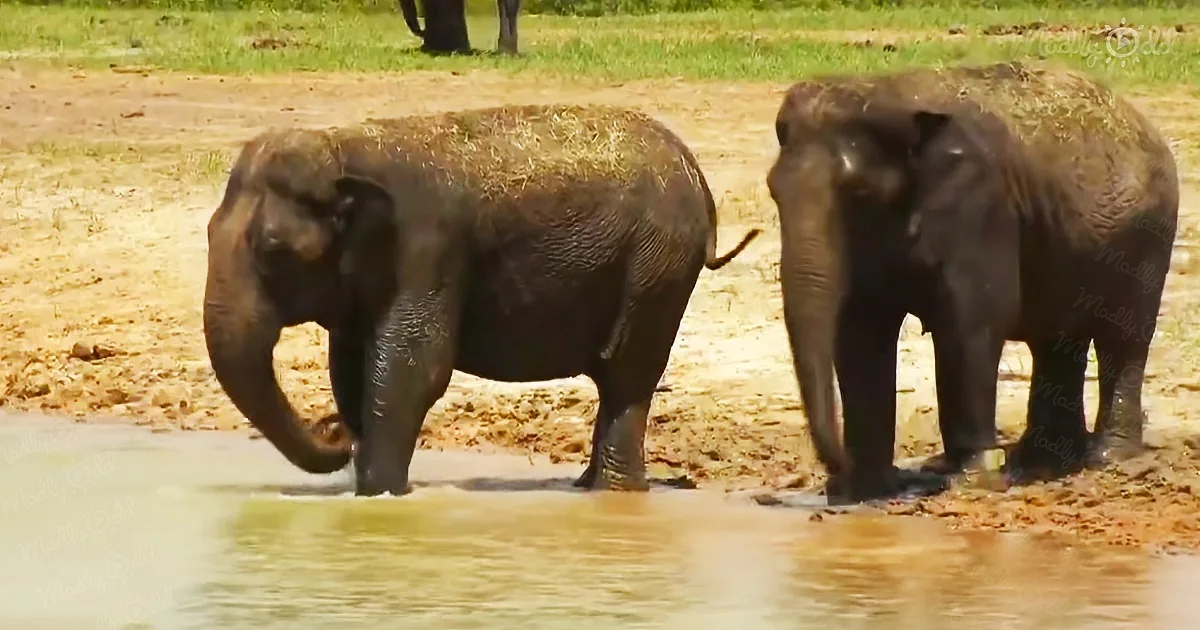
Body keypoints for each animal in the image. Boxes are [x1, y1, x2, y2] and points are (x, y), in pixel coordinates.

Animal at [203, 103, 761, 497]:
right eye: (208, 233)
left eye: (273, 250)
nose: (332, 433)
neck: (344, 146)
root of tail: (699, 178)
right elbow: (351, 371)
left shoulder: (427, 248)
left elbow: (409, 370)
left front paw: (380, 495)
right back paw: (589, 488)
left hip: (657, 266)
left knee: (628, 377)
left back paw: (613, 492)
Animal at [765, 61, 1179, 503]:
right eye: (773, 191)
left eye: (858, 192)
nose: (833, 472)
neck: (884, 93)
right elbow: (860, 334)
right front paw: (863, 491)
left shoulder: (979, 207)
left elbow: (971, 325)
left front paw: (970, 481)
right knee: (1057, 343)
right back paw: (1039, 462)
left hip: (1148, 238)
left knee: (1124, 339)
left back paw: (1108, 459)